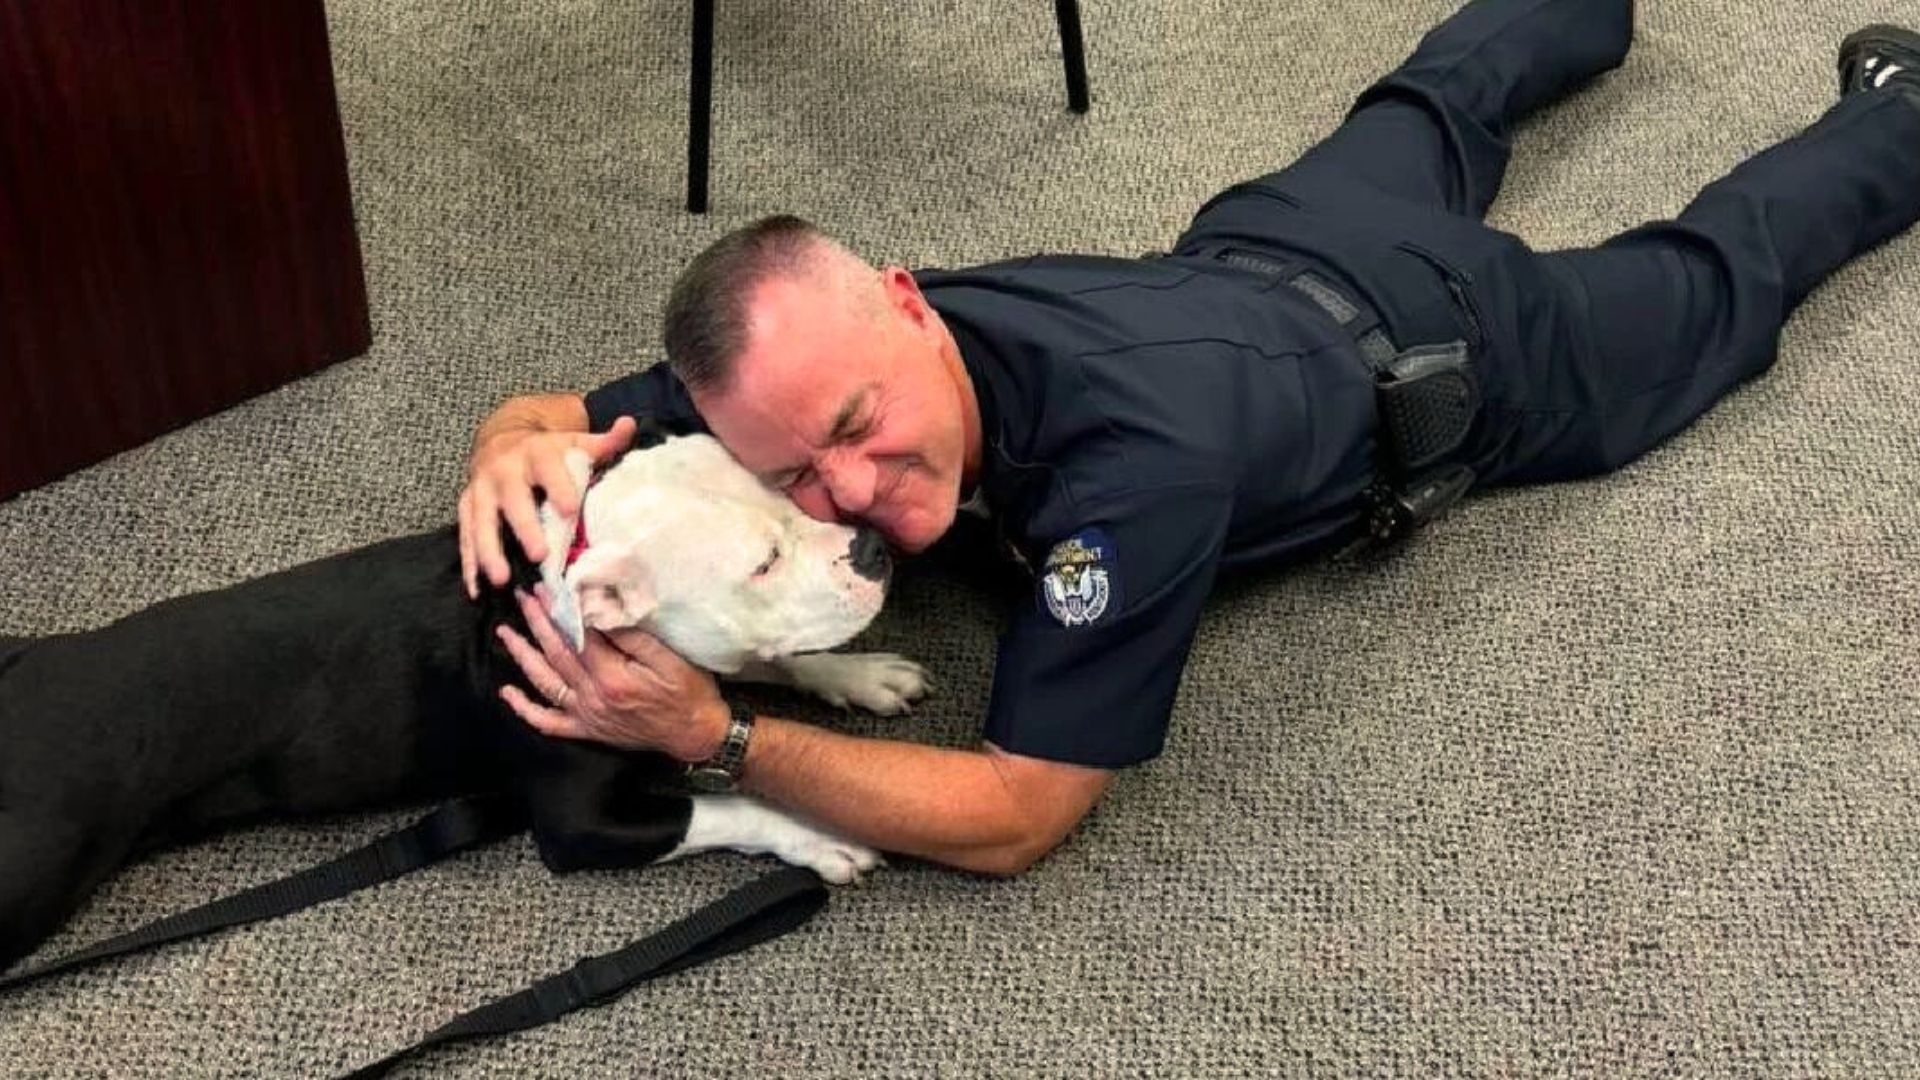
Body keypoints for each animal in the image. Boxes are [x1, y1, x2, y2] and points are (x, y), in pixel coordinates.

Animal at [0, 426, 929, 968]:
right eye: (760, 564)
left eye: (787, 490)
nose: (872, 548)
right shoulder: (580, 826)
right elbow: (729, 806)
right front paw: (817, 836)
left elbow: (775, 661)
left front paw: (860, 674)